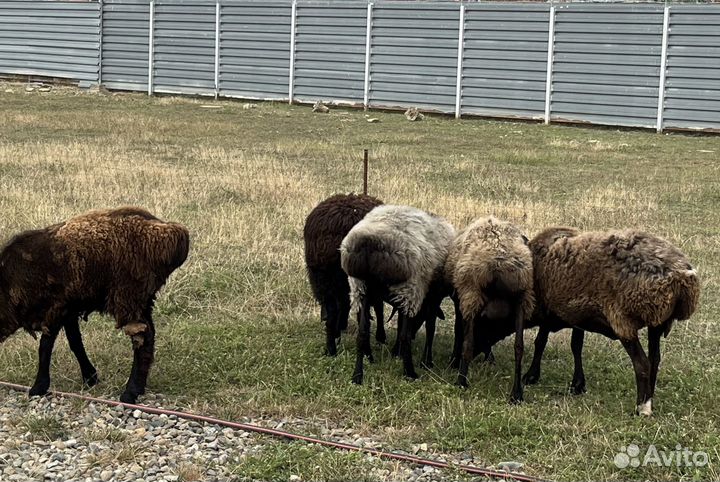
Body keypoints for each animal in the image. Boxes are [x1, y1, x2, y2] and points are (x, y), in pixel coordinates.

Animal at [0, 207, 190, 404]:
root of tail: (171, 232)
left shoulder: (54, 309)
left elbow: (45, 347)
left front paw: (38, 387)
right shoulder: (69, 309)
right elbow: (75, 342)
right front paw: (90, 377)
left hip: (128, 297)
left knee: (143, 339)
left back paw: (130, 392)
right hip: (141, 301)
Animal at [303, 193, 385, 356]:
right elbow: (379, 308)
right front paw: (381, 337)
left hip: (323, 278)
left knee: (332, 312)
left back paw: (331, 350)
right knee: (362, 318)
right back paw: (366, 352)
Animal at [340, 205, 455, 384]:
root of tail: (368, 243)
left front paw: (396, 353)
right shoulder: (431, 296)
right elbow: (429, 327)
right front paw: (426, 361)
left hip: (360, 288)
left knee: (362, 334)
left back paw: (357, 376)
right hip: (409, 288)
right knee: (404, 337)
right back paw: (410, 372)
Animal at [444, 216, 535, 402]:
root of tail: (499, 259)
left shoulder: (460, 301)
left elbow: (460, 332)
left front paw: (454, 362)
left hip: (472, 293)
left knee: (468, 344)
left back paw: (461, 381)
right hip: (522, 298)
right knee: (519, 347)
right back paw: (516, 393)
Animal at [524, 227, 699, 416]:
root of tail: (682, 275)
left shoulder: (548, 311)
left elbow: (540, 342)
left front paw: (531, 375)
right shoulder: (577, 316)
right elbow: (576, 345)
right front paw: (577, 384)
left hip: (623, 320)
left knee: (642, 364)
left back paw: (642, 408)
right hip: (657, 321)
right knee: (654, 360)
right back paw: (649, 398)